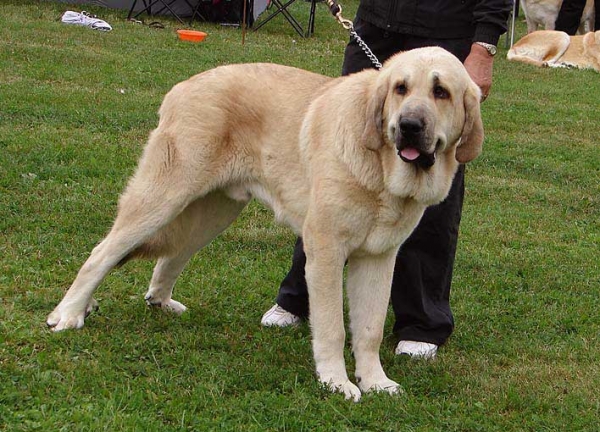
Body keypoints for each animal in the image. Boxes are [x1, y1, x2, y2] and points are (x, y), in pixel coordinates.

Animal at [49, 46, 486, 402]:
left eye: (441, 92)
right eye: (400, 88)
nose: (408, 125)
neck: (381, 170)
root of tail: (181, 88)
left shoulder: (378, 258)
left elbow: (369, 329)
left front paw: (375, 381)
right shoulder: (326, 251)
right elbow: (333, 326)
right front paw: (337, 382)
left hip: (213, 212)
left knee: (171, 256)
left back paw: (159, 301)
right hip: (162, 197)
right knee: (103, 253)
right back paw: (69, 313)